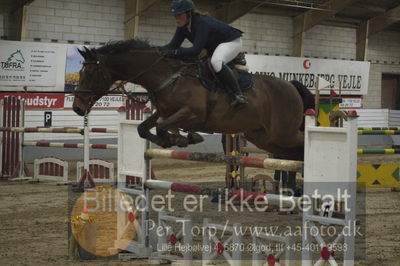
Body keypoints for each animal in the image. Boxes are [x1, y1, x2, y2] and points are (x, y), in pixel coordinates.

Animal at [73, 39, 314, 160]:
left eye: (90, 73)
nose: (77, 108)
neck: (166, 76)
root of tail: (291, 85)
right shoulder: (165, 112)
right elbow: (145, 128)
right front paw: (180, 139)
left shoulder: (193, 113)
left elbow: (162, 127)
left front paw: (183, 138)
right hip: (263, 136)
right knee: (294, 151)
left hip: (283, 133)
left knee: (302, 142)